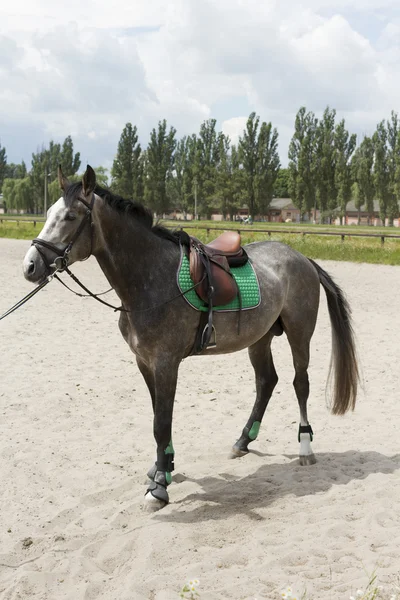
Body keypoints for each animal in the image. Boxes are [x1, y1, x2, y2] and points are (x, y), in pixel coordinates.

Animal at [22, 165, 360, 510]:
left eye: (71, 216)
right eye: (48, 213)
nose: (30, 266)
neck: (150, 279)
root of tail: (302, 258)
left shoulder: (166, 362)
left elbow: (161, 423)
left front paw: (159, 486)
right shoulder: (145, 362)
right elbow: (159, 416)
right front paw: (163, 467)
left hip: (299, 333)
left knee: (299, 383)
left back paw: (305, 448)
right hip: (259, 338)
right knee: (267, 382)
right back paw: (242, 441)